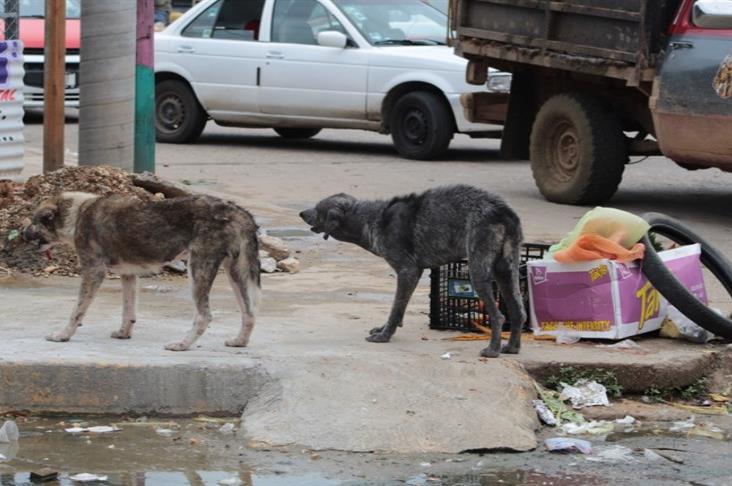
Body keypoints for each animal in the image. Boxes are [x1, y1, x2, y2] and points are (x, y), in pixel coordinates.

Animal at [23, 192, 260, 352]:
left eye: (34, 222)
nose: (23, 234)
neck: (79, 212)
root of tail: (236, 210)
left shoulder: (93, 272)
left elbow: (77, 311)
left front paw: (63, 335)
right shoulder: (128, 275)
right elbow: (128, 311)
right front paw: (123, 334)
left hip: (198, 270)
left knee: (204, 316)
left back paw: (182, 344)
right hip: (235, 272)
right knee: (249, 313)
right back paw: (240, 341)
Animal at [300, 184, 524, 358]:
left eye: (318, 208)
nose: (301, 213)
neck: (371, 218)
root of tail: (503, 211)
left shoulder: (407, 272)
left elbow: (396, 307)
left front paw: (384, 336)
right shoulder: (412, 274)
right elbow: (398, 308)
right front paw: (384, 329)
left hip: (478, 270)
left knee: (499, 316)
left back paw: (492, 350)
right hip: (506, 271)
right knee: (518, 312)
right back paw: (512, 347)